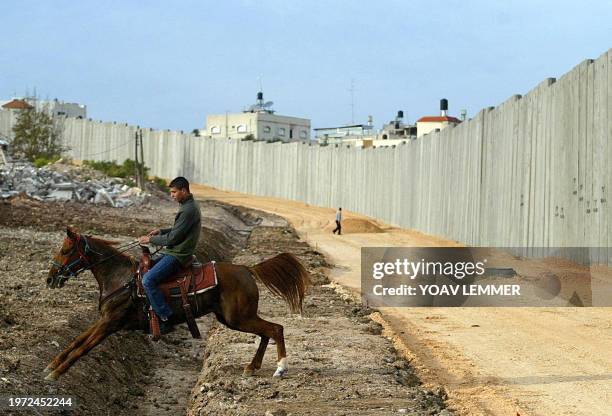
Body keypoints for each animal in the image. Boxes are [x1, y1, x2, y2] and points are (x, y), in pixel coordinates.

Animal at [44, 229, 308, 382]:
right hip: (233, 318)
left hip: (238, 318)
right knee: (267, 332)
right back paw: (252, 367)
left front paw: (56, 374)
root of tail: (247, 269)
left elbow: (83, 348)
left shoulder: (110, 323)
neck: (120, 278)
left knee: (275, 329)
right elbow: (77, 340)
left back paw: (280, 368)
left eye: (66, 249)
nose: (50, 279)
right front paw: (51, 365)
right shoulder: (103, 320)